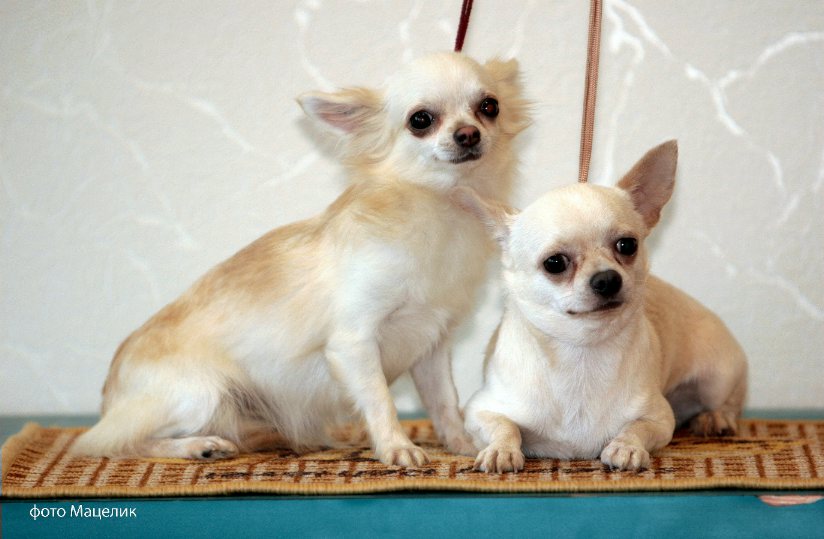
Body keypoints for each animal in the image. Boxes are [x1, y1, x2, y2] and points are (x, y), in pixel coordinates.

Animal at [71, 52, 529, 467]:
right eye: (421, 120)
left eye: (489, 107)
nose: (469, 134)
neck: (438, 206)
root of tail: (109, 393)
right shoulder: (353, 343)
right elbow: (380, 400)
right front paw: (396, 447)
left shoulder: (430, 347)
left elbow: (445, 403)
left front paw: (463, 444)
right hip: (201, 392)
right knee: (110, 443)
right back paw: (197, 446)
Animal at [456, 140, 748, 472]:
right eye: (554, 263)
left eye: (627, 245)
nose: (607, 278)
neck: (582, 352)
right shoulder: (479, 410)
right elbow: (504, 426)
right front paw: (500, 450)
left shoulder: (661, 418)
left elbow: (637, 426)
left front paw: (626, 447)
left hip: (717, 378)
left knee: (729, 402)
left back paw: (715, 418)